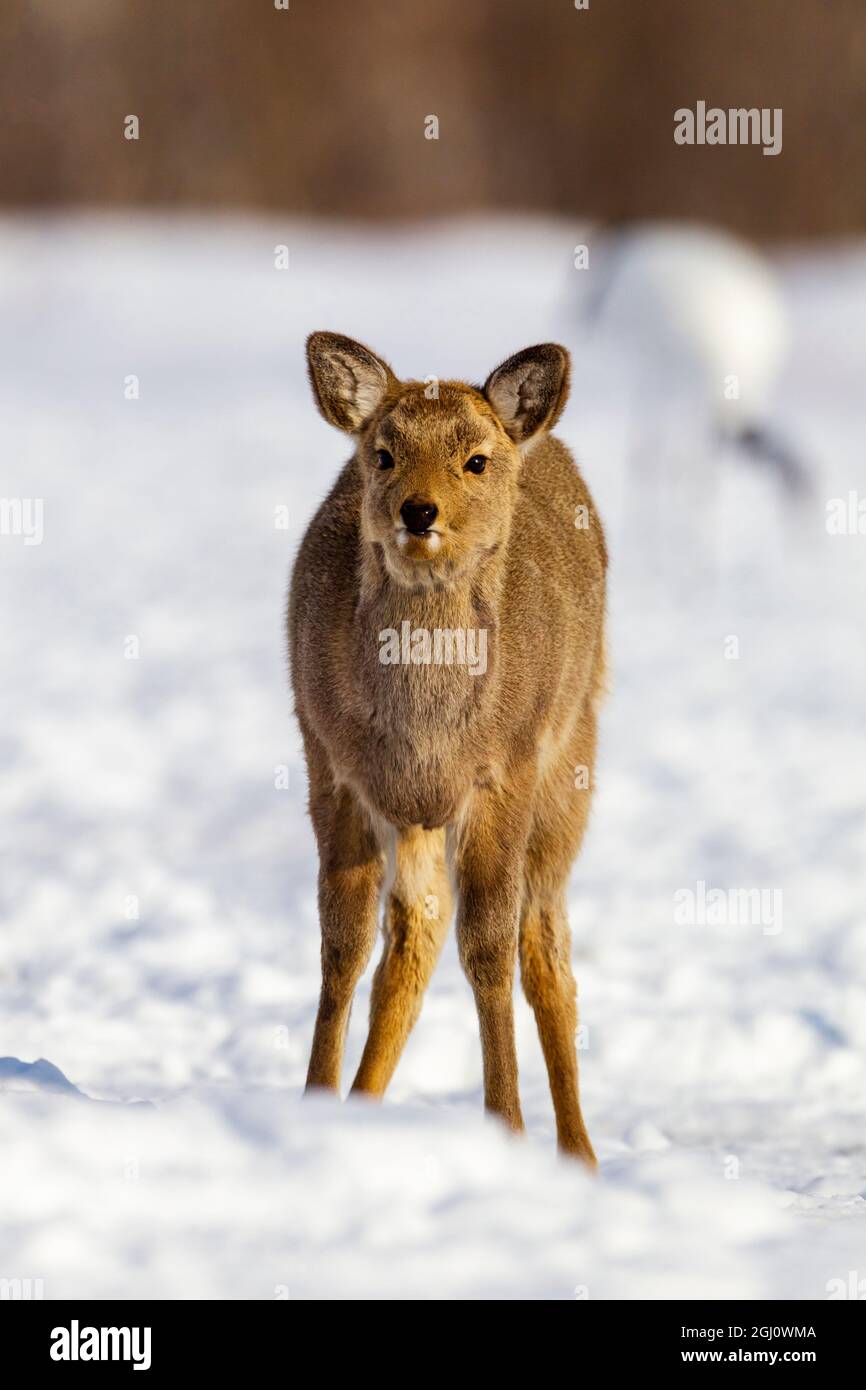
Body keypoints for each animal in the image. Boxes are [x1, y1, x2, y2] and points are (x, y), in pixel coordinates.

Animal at [288, 332, 607, 1164]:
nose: (418, 509)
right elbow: (343, 945)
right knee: (414, 938)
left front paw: (508, 1126)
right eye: (384, 453)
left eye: (476, 460)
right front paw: (313, 1101)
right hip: (418, 815)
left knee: (544, 948)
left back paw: (580, 1154)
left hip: (571, 762)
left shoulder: (507, 774)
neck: (427, 735)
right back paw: (364, 1101)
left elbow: (490, 947)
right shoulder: (331, 768)